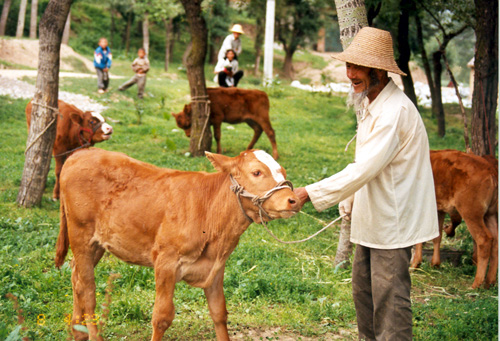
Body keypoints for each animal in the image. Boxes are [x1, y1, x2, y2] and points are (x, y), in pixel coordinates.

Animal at [54, 147, 298, 338]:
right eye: (257, 172)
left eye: (284, 172)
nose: (294, 200)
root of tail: (80, 154)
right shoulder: (165, 262)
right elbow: (161, 317)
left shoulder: (216, 268)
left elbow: (219, 313)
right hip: (81, 235)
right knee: (88, 291)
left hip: (96, 243)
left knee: (76, 276)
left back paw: (77, 331)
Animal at [410, 150, 496, 288]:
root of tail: (490, 170)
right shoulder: (439, 210)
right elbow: (437, 237)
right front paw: (435, 264)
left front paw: (415, 264)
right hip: (490, 215)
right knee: (496, 241)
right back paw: (490, 282)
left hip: (471, 214)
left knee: (484, 240)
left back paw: (476, 284)